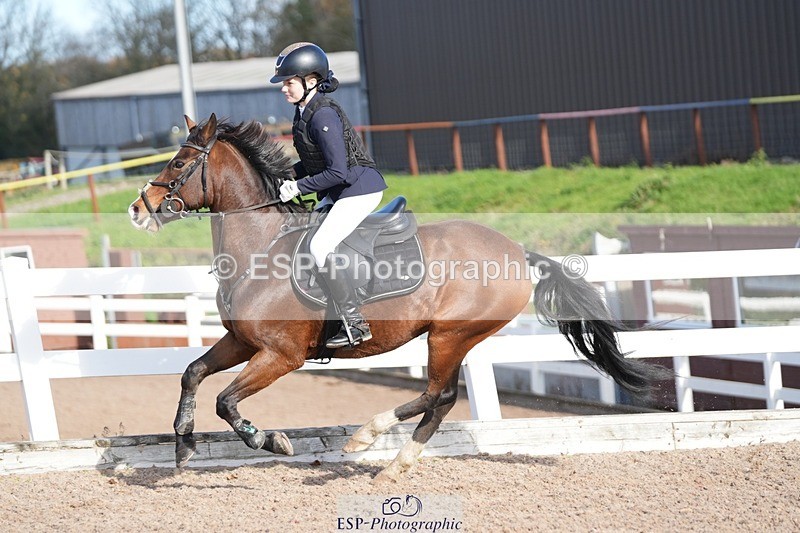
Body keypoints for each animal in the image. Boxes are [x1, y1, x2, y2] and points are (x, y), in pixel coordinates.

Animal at [128, 114, 668, 481]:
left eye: (179, 162)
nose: (137, 208)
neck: (261, 249)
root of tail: (517, 252)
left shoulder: (281, 355)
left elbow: (226, 401)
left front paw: (271, 440)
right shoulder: (243, 343)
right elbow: (193, 373)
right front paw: (183, 445)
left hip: (451, 334)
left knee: (437, 394)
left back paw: (368, 439)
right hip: (452, 337)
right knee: (442, 398)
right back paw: (395, 463)